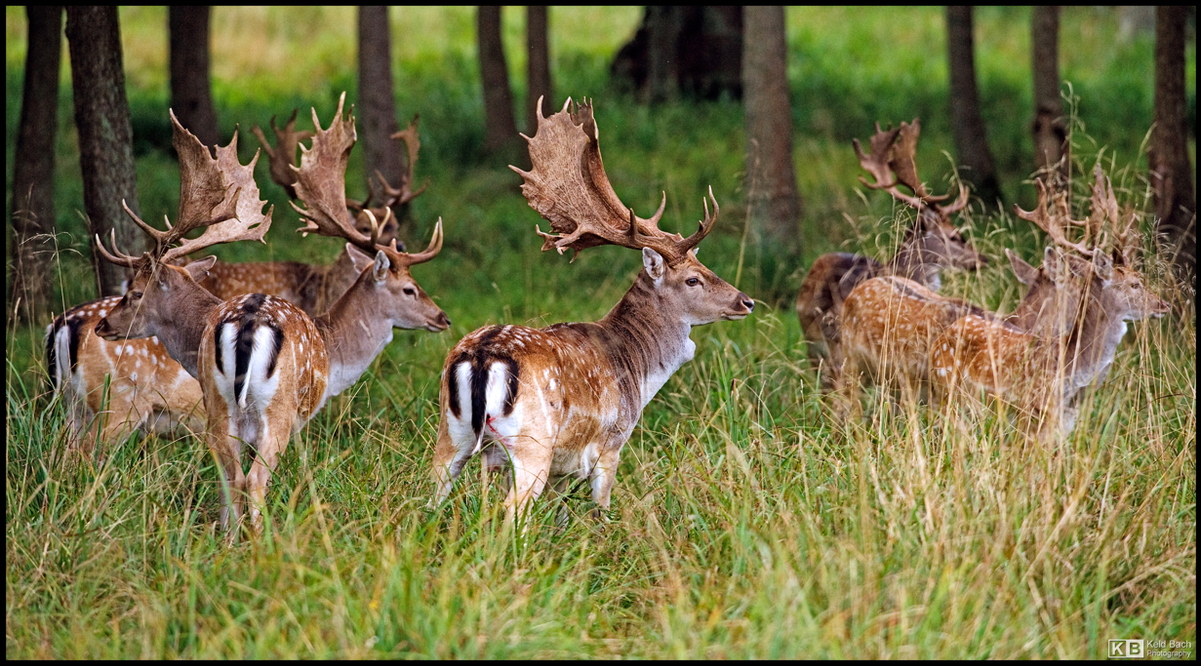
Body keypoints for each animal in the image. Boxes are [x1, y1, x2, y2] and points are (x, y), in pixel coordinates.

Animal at [426, 98, 755, 526]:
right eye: (693, 279)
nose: (745, 301)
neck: (637, 372)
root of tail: (482, 356)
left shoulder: (563, 469)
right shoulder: (610, 444)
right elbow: (602, 508)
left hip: (451, 434)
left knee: (428, 500)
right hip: (532, 442)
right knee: (511, 511)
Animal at [928, 166, 1169, 438]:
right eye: (1134, 284)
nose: (1163, 305)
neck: (1071, 369)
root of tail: (942, 337)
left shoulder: (1064, 423)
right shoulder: (1031, 410)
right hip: (951, 394)